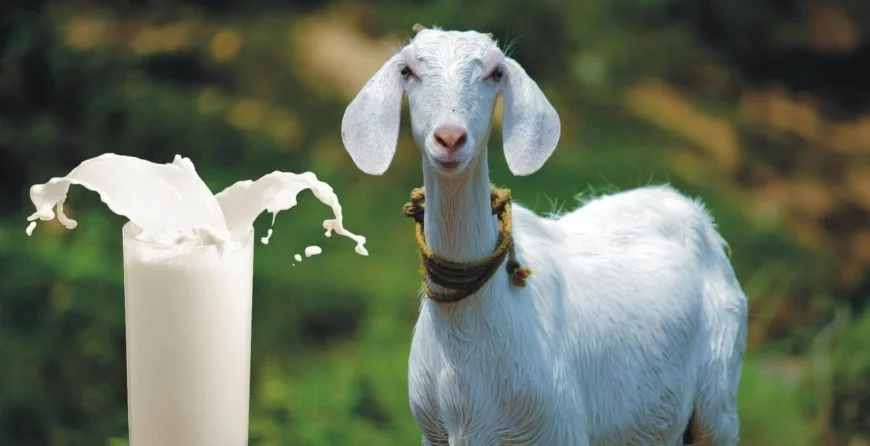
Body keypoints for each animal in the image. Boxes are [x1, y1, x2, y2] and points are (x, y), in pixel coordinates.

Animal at [340, 24, 748, 446]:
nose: (450, 139)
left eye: (495, 72)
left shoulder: (559, 429)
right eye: (407, 70)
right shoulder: (434, 433)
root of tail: (690, 208)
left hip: (719, 395)